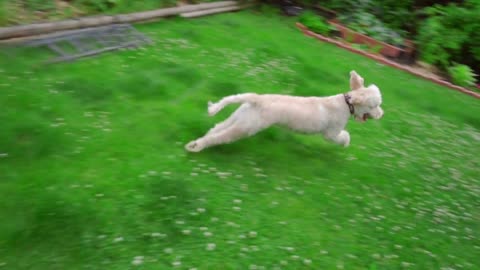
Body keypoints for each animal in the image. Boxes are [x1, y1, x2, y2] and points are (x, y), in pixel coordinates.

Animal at [186, 70, 384, 152]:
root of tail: (257, 99)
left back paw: (195, 142)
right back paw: (197, 147)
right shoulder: (331, 133)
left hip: (239, 118)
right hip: (246, 128)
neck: (345, 103)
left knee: (216, 128)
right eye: (375, 105)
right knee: (219, 137)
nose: (382, 115)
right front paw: (346, 143)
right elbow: (343, 136)